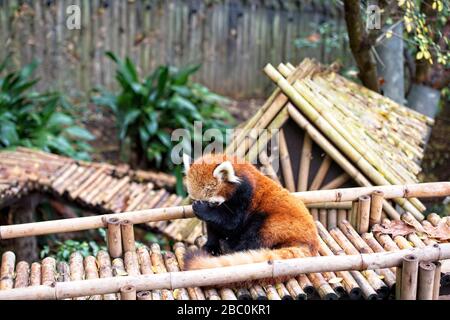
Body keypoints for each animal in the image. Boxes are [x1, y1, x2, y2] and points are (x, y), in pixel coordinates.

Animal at [183, 152, 320, 280]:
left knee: (255, 236)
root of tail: (311, 243)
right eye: (193, 198)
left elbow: (232, 221)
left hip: (276, 223)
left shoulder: (245, 196)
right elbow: (214, 228)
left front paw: (202, 209)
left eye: (211, 202)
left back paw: (230, 247)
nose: (197, 204)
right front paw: (211, 246)